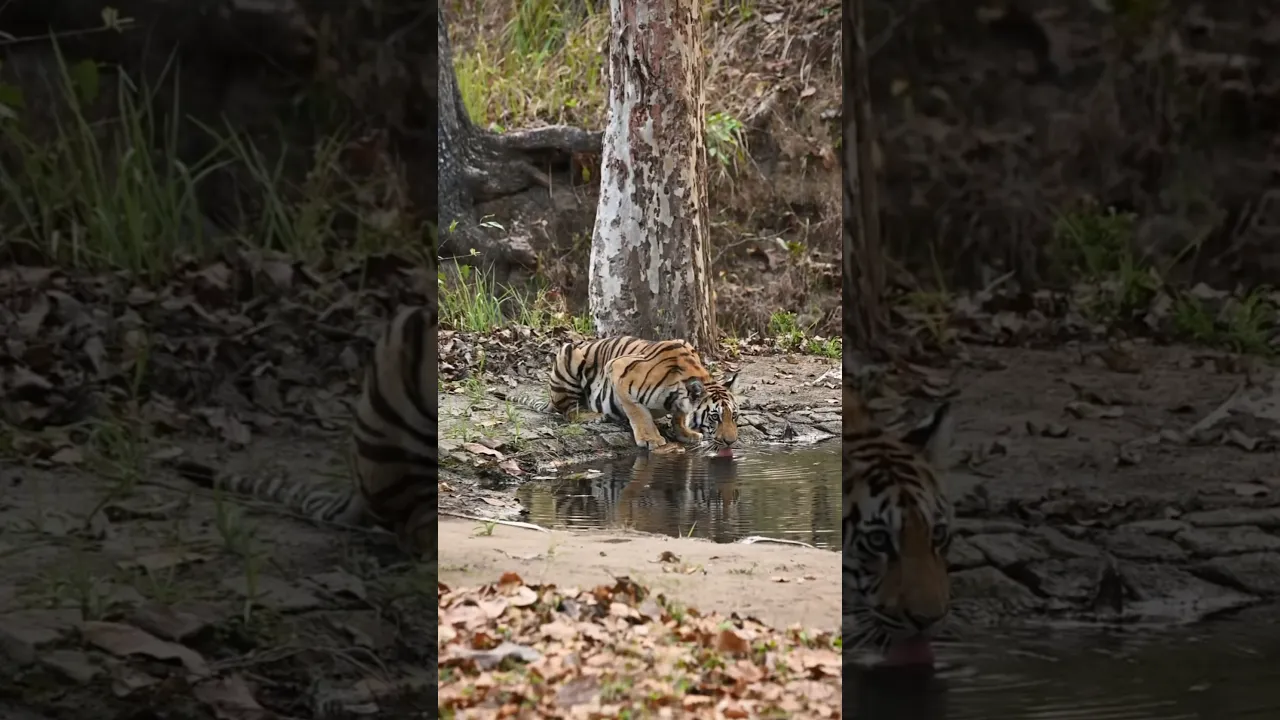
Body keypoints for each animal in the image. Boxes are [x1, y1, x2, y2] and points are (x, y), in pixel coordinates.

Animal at [510, 336, 739, 450]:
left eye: (734, 416)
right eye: (715, 417)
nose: (731, 442)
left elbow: (680, 416)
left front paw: (686, 433)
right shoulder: (619, 370)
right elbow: (639, 412)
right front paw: (651, 439)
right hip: (568, 354)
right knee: (567, 410)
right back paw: (592, 416)